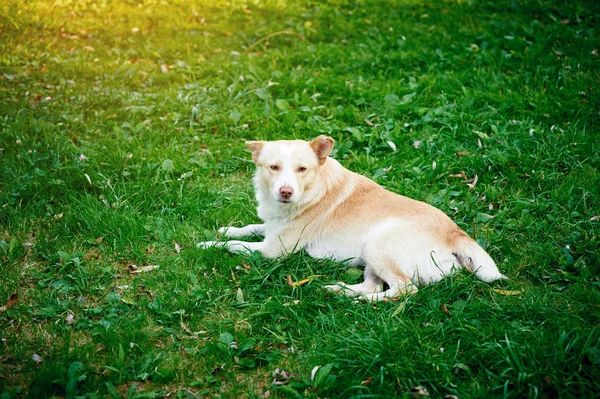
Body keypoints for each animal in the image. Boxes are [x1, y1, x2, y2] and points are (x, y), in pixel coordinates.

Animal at [198, 136, 506, 302]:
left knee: (404, 290)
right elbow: (251, 227)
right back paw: (339, 290)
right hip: (370, 255)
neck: (313, 190)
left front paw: (208, 245)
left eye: (301, 169)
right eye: (273, 167)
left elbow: (236, 246)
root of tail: (456, 233)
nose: (285, 192)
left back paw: (362, 301)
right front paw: (227, 229)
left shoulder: (274, 250)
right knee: (374, 284)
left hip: (378, 244)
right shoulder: (273, 228)